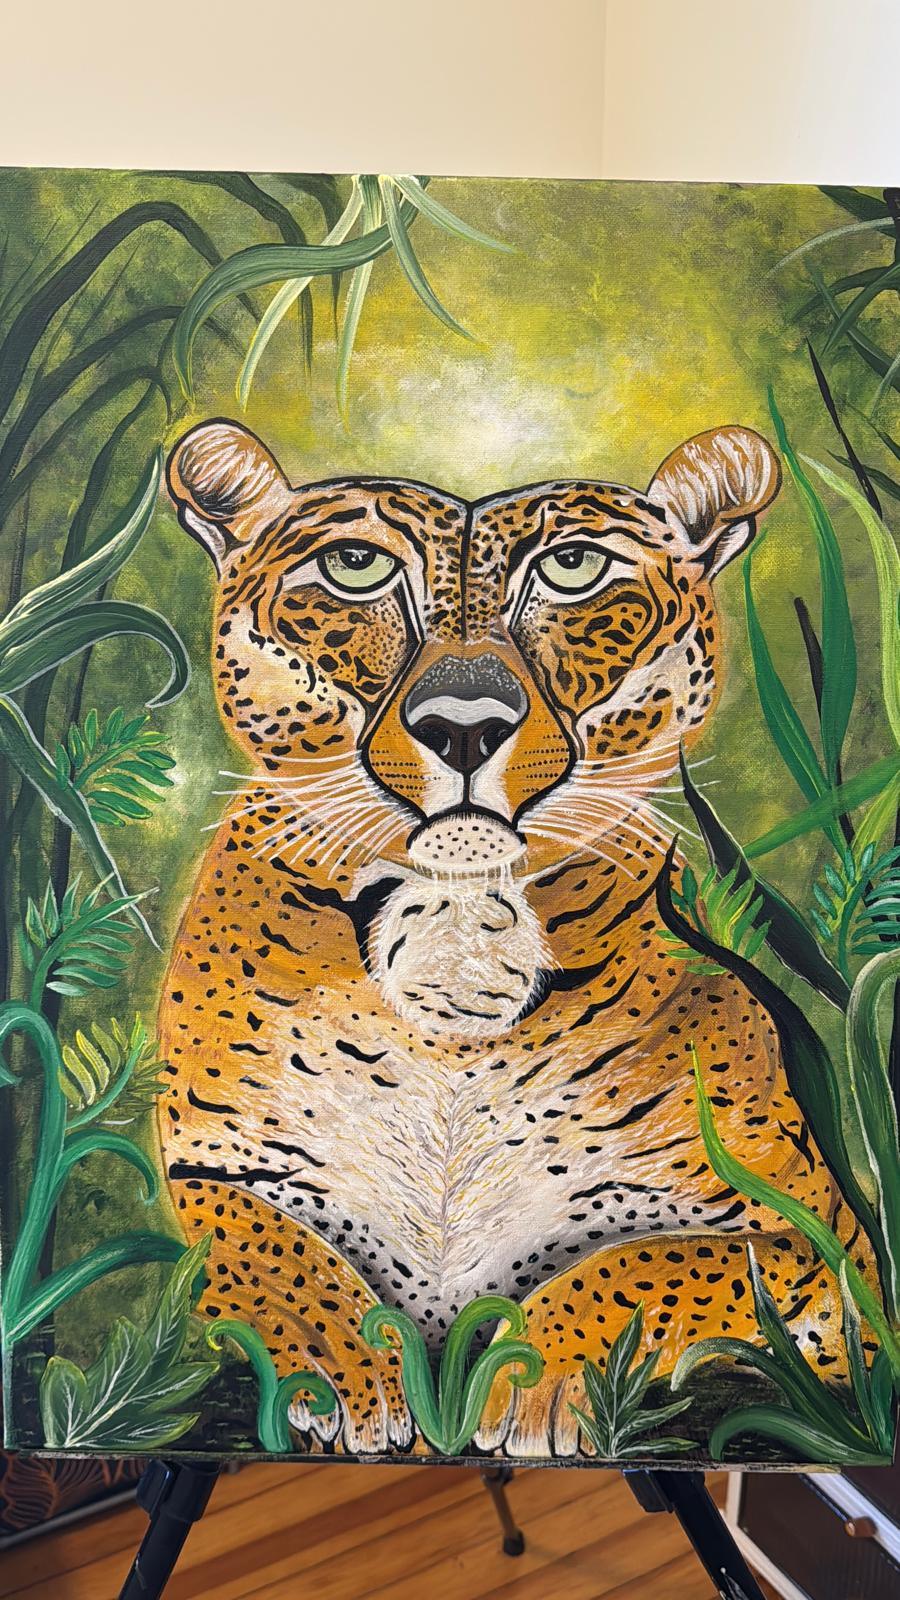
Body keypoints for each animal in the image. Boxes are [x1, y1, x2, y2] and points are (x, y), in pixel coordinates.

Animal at [157, 417, 860, 1459]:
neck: (456, 921)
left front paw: (528, 1379)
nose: (463, 727)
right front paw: (343, 1370)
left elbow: (655, 1263)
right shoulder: (217, 1167)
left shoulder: (814, 1242)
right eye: (356, 566)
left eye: (573, 567)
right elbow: (270, 1251)